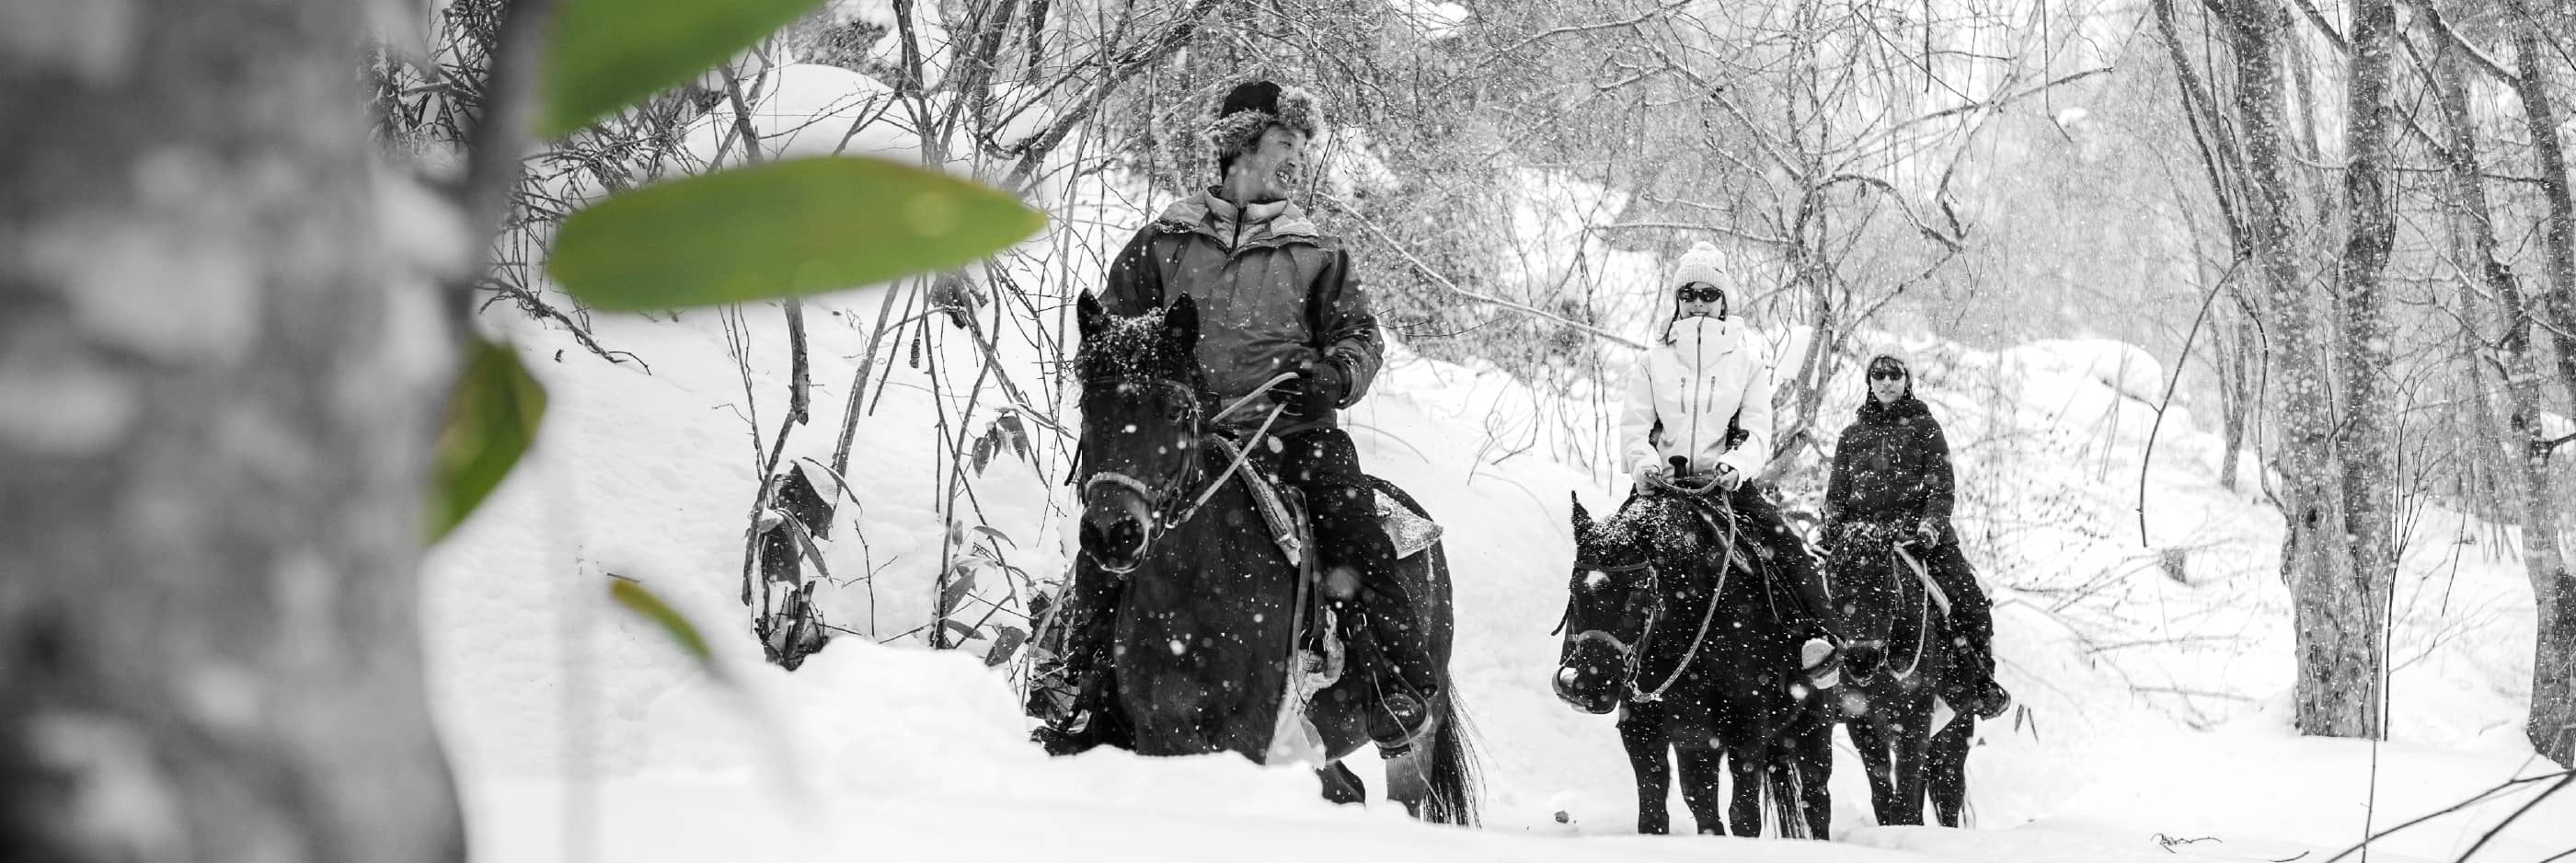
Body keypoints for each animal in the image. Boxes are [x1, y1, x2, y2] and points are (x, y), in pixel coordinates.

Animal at [1066, 296, 1483, 824]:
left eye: (1176, 411)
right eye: (1088, 406)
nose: (1112, 533)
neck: (1191, 596)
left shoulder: (1242, 739)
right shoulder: (1157, 732)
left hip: (1414, 741)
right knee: (1348, 789)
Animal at [1546, 487, 1834, 839]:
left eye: (1635, 594)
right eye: (1575, 589)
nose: (1590, 688)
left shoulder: (1747, 724)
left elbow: (1744, 816)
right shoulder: (1643, 728)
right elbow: (1655, 813)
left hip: (1814, 725)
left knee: (1816, 800)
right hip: (1697, 746)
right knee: (1703, 802)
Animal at [1834, 528, 1968, 829]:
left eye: (1886, 585)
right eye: (1835, 582)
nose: (1861, 661)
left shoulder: (1915, 720)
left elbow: (1906, 798)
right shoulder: (1861, 723)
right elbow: (1884, 795)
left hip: (1957, 729)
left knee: (1950, 790)